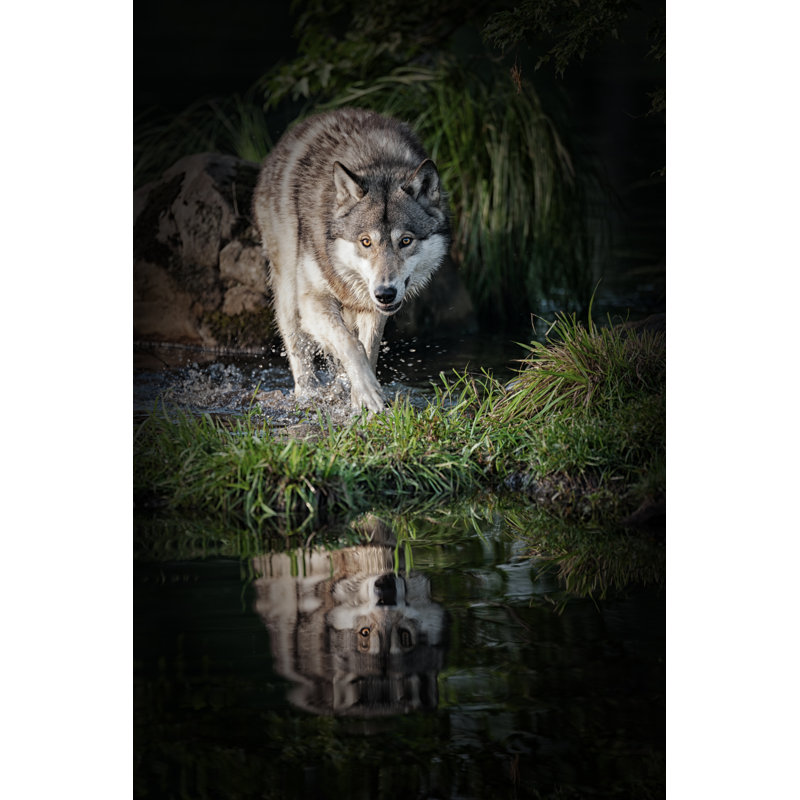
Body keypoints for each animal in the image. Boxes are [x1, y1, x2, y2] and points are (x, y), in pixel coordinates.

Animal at [252, 108, 450, 412]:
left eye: (405, 241)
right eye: (366, 241)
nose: (385, 293)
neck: (376, 162)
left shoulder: (373, 309)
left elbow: (367, 349)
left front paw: (359, 401)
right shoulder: (312, 301)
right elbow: (350, 345)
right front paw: (367, 391)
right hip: (288, 293)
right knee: (297, 346)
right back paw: (306, 395)